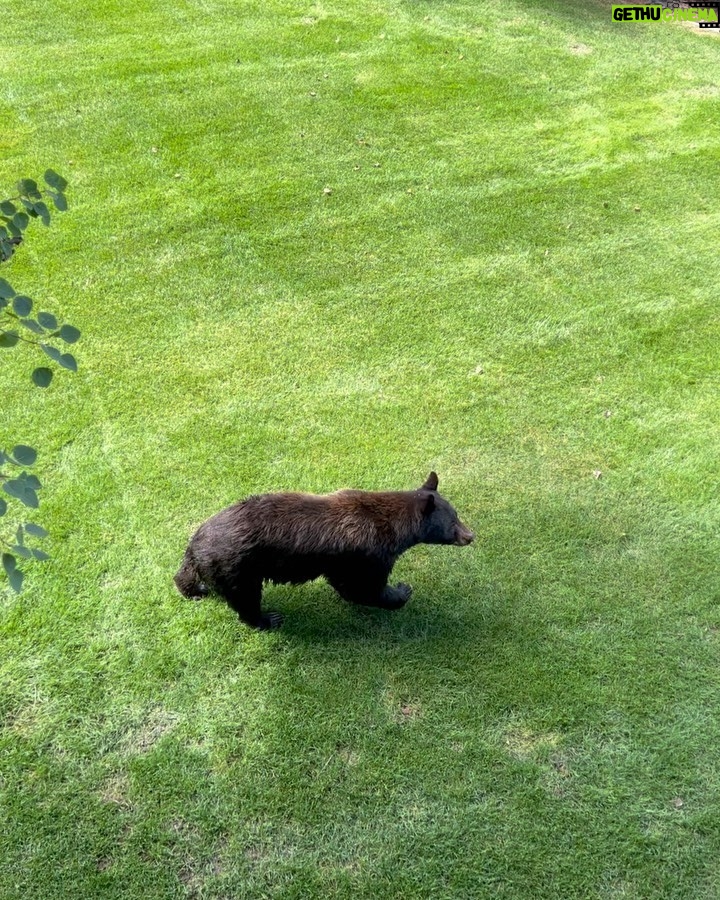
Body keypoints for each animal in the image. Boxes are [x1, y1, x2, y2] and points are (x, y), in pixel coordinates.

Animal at [174, 472, 472, 632]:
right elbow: (364, 586)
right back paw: (268, 618)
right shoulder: (365, 553)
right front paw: (401, 590)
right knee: (245, 598)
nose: (470, 536)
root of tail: (194, 544)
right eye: (453, 521)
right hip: (237, 566)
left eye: (456, 514)